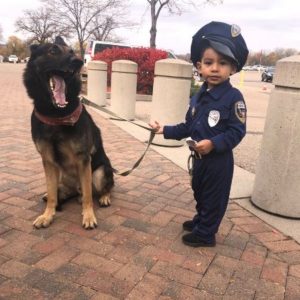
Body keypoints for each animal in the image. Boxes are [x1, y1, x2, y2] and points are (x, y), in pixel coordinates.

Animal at [23, 37, 114, 230]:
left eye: (72, 52)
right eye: (53, 51)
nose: (78, 62)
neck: (56, 115)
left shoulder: (83, 159)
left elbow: (88, 195)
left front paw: (88, 216)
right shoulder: (48, 161)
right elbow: (52, 194)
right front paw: (47, 215)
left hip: (99, 172)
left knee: (101, 188)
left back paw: (104, 197)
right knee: (60, 192)